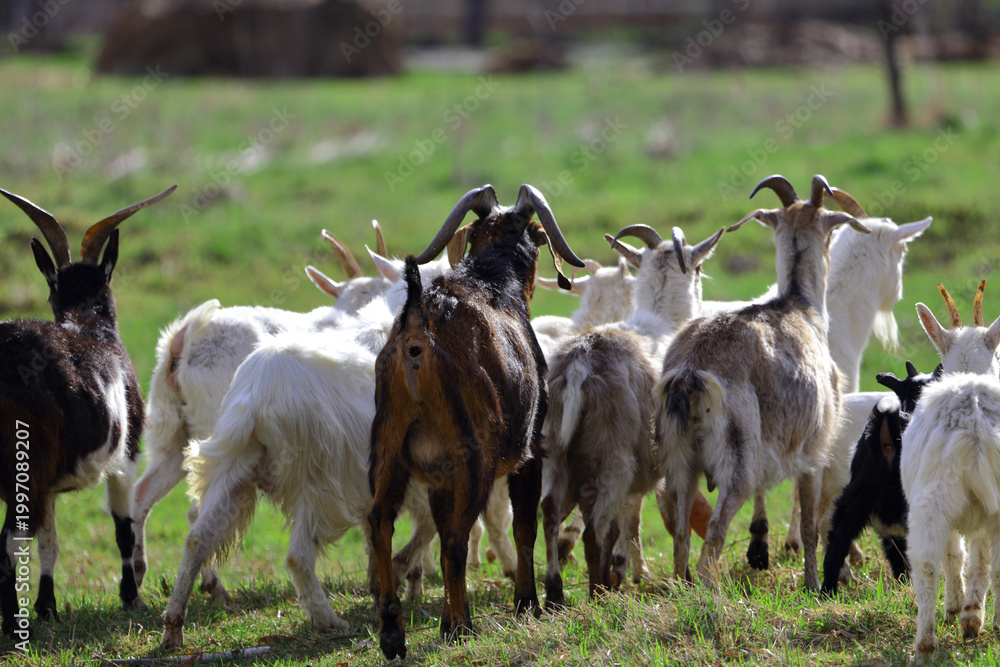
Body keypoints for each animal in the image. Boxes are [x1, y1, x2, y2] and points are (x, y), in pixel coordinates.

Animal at [0, 186, 174, 637]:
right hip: (25, 463)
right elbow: (123, 528)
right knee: (8, 545)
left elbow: (49, 542)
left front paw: (47, 607)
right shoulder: (125, 455)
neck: (92, 329)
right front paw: (131, 598)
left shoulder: (47, 486)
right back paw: (11, 624)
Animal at [368, 184, 584, 660]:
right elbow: (524, 525)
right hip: (476, 454)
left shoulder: (438, 475)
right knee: (454, 540)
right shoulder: (529, 450)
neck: (494, 282)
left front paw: (449, 617)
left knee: (380, 521)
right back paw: (462, 629)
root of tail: (418, 329)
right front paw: (526, 603)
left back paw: (393, 632)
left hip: (387, 445)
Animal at [541, 224, 723, 605]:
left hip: (555, 452)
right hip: (613, 457)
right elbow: (655, 519)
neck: (661, 320)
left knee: (550, 514)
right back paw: (597, 594)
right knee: (593, 530)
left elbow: (629, 521)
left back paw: (554, 595)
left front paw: (627, 571)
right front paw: (643, 573)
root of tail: (579, 363)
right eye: (699, 269)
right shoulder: (664, 461)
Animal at [656, 174, 870, 589]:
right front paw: (814, 585)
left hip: (679, 459)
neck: (799, 305)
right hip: (739, 459)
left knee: (680, 534)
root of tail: (690, 371)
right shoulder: (813, 451)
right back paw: (709, 594)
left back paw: (682, 588)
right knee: (716, 530)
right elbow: (810, 526)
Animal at [901, 281, 1000, 657]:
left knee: (927, 564)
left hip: (931, 501)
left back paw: (925, 644)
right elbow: (978, 559)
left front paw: (959, 609)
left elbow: (954, 555)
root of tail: (973, 419)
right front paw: (970, 614)